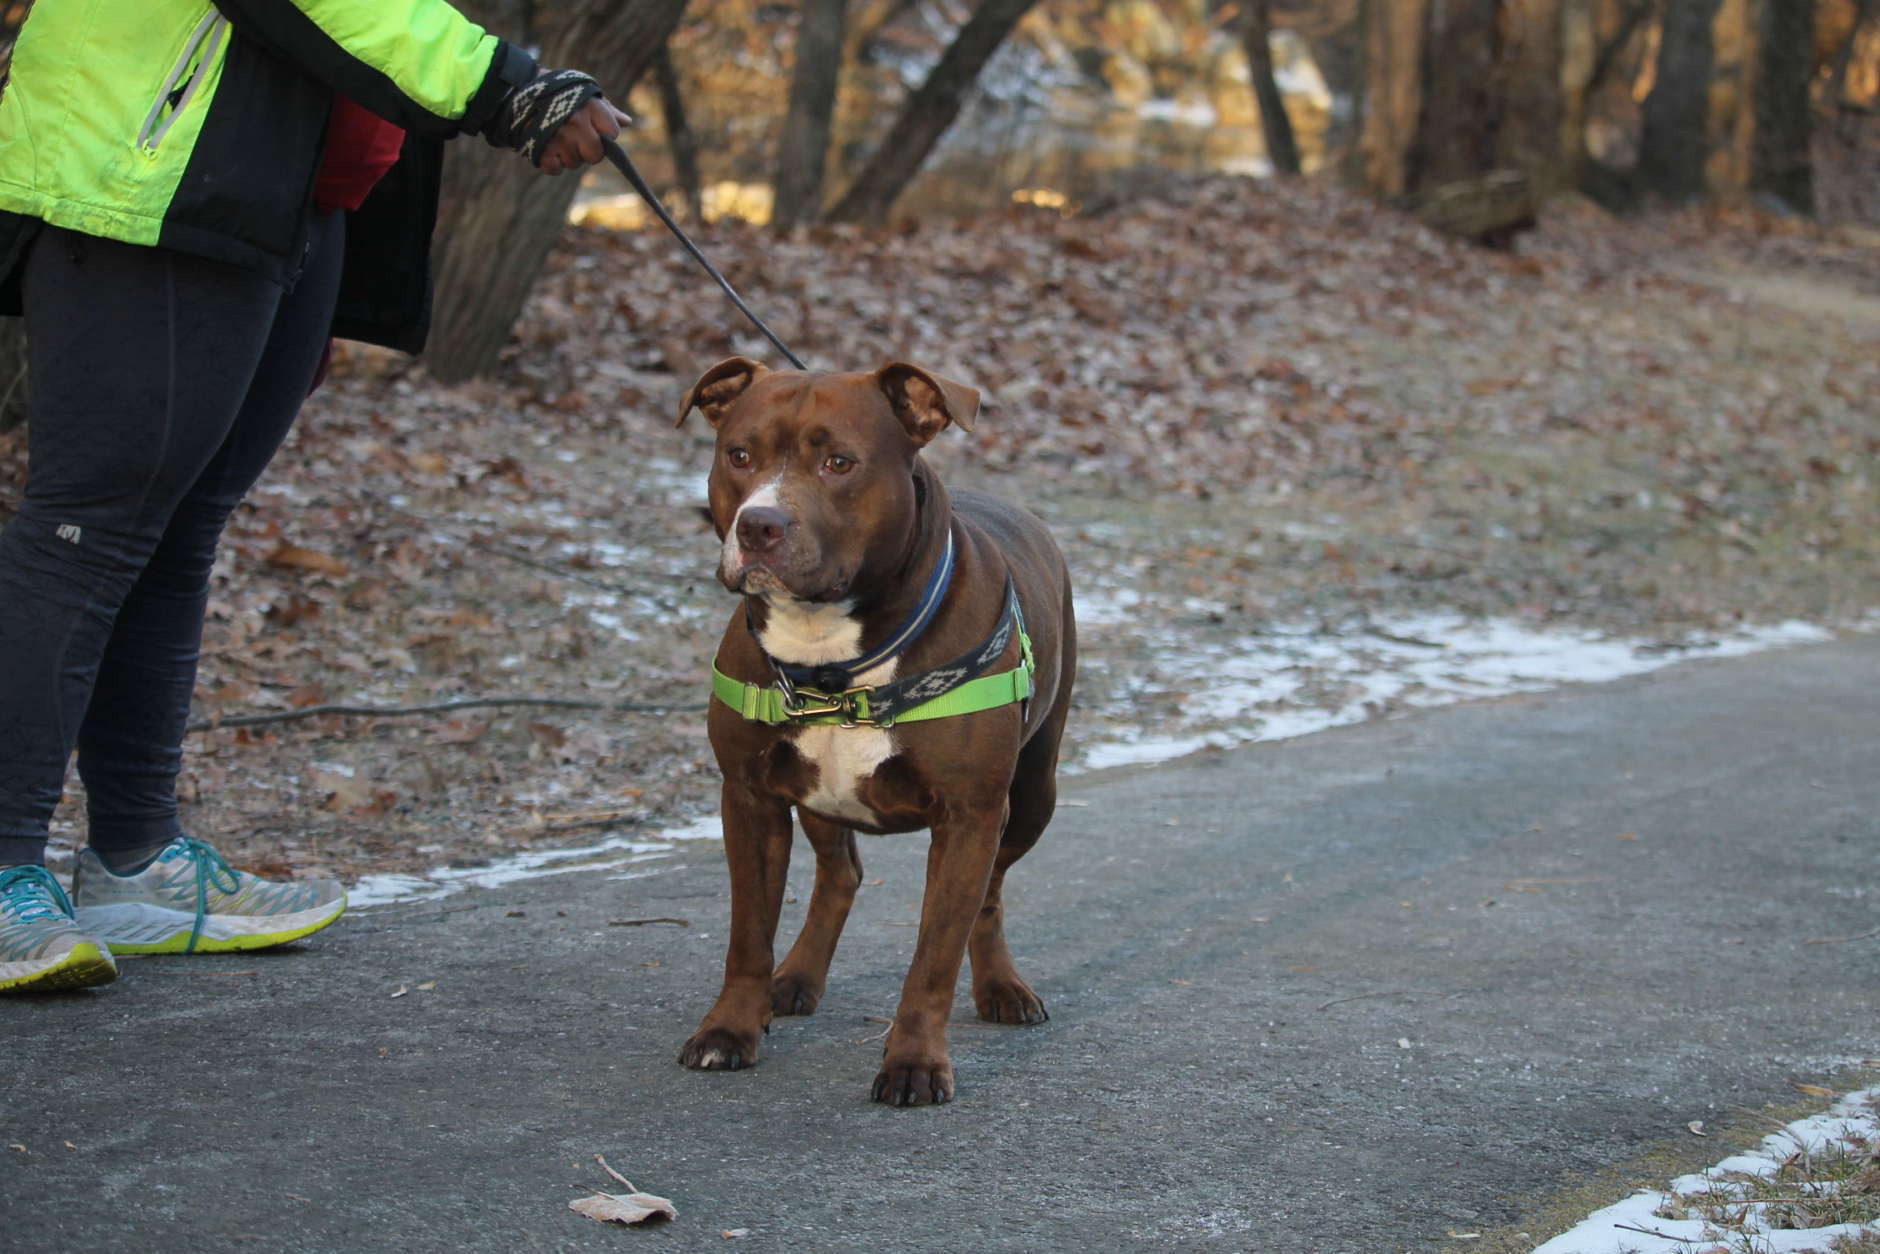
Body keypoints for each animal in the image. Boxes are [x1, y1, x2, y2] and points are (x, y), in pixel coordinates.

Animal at [674, 357, 1076, 1106]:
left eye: (839, 462)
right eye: (738, 455)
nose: (759, 525)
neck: (829, 647)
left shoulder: (969, 815)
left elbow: (933, 955)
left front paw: (914, 1061)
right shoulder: (748, 797)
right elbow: (747, 932)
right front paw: (729, 1028)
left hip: (1033, 795)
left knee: (990, 895)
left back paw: (1002, 986)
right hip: (819, 798)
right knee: (841, 874)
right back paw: (796, 979)